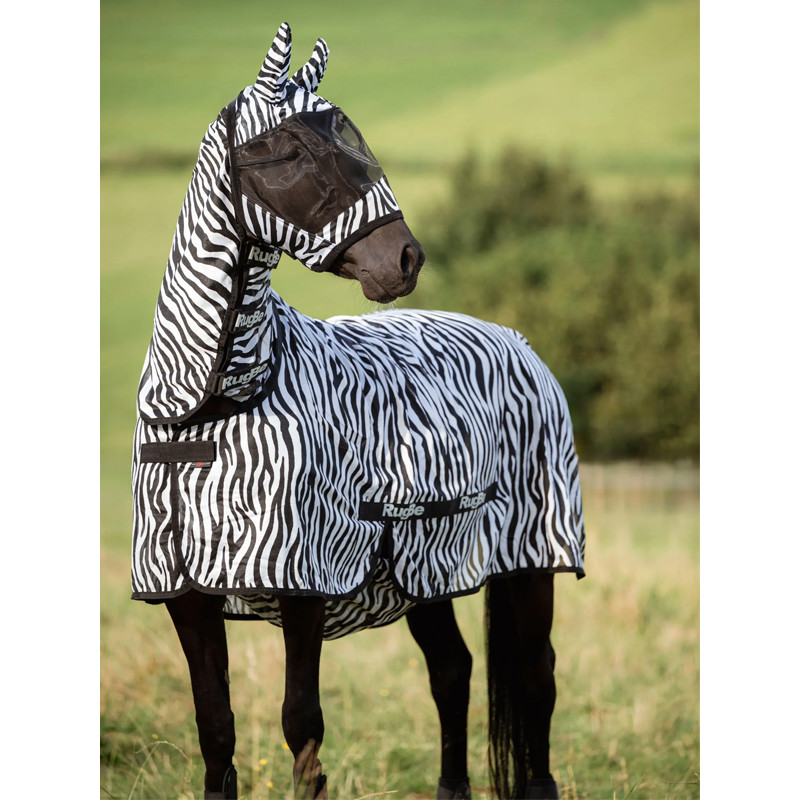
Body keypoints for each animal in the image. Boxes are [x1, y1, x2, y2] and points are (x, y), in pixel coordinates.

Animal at [131, 22, 585, 800]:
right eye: (292, 148)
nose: (405, 259)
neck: (208, 407)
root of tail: (518, 342)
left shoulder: (303, 584)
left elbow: (301, 727)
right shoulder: (187, 595)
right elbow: (216, 730)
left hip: (530, 560)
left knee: (536, 682)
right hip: (428, 570)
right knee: (453, 671)